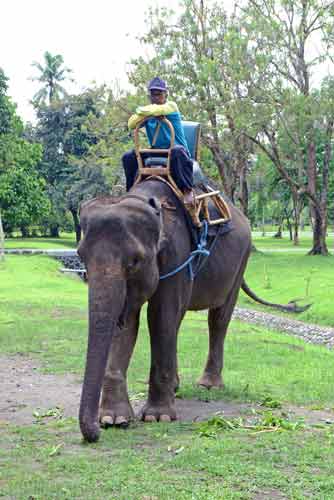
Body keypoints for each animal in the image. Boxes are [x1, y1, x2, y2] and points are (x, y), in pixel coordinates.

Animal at [77, 179, 306, 442]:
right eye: (80, 256)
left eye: (134, 261)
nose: (93, 434)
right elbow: (128, 322)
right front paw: (113, 420)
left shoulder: (177, 253)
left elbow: (160, 315)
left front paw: (157, 417)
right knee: (180, 320)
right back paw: (176, 385)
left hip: (241, 262)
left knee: (218, 318)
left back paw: (208, 385)